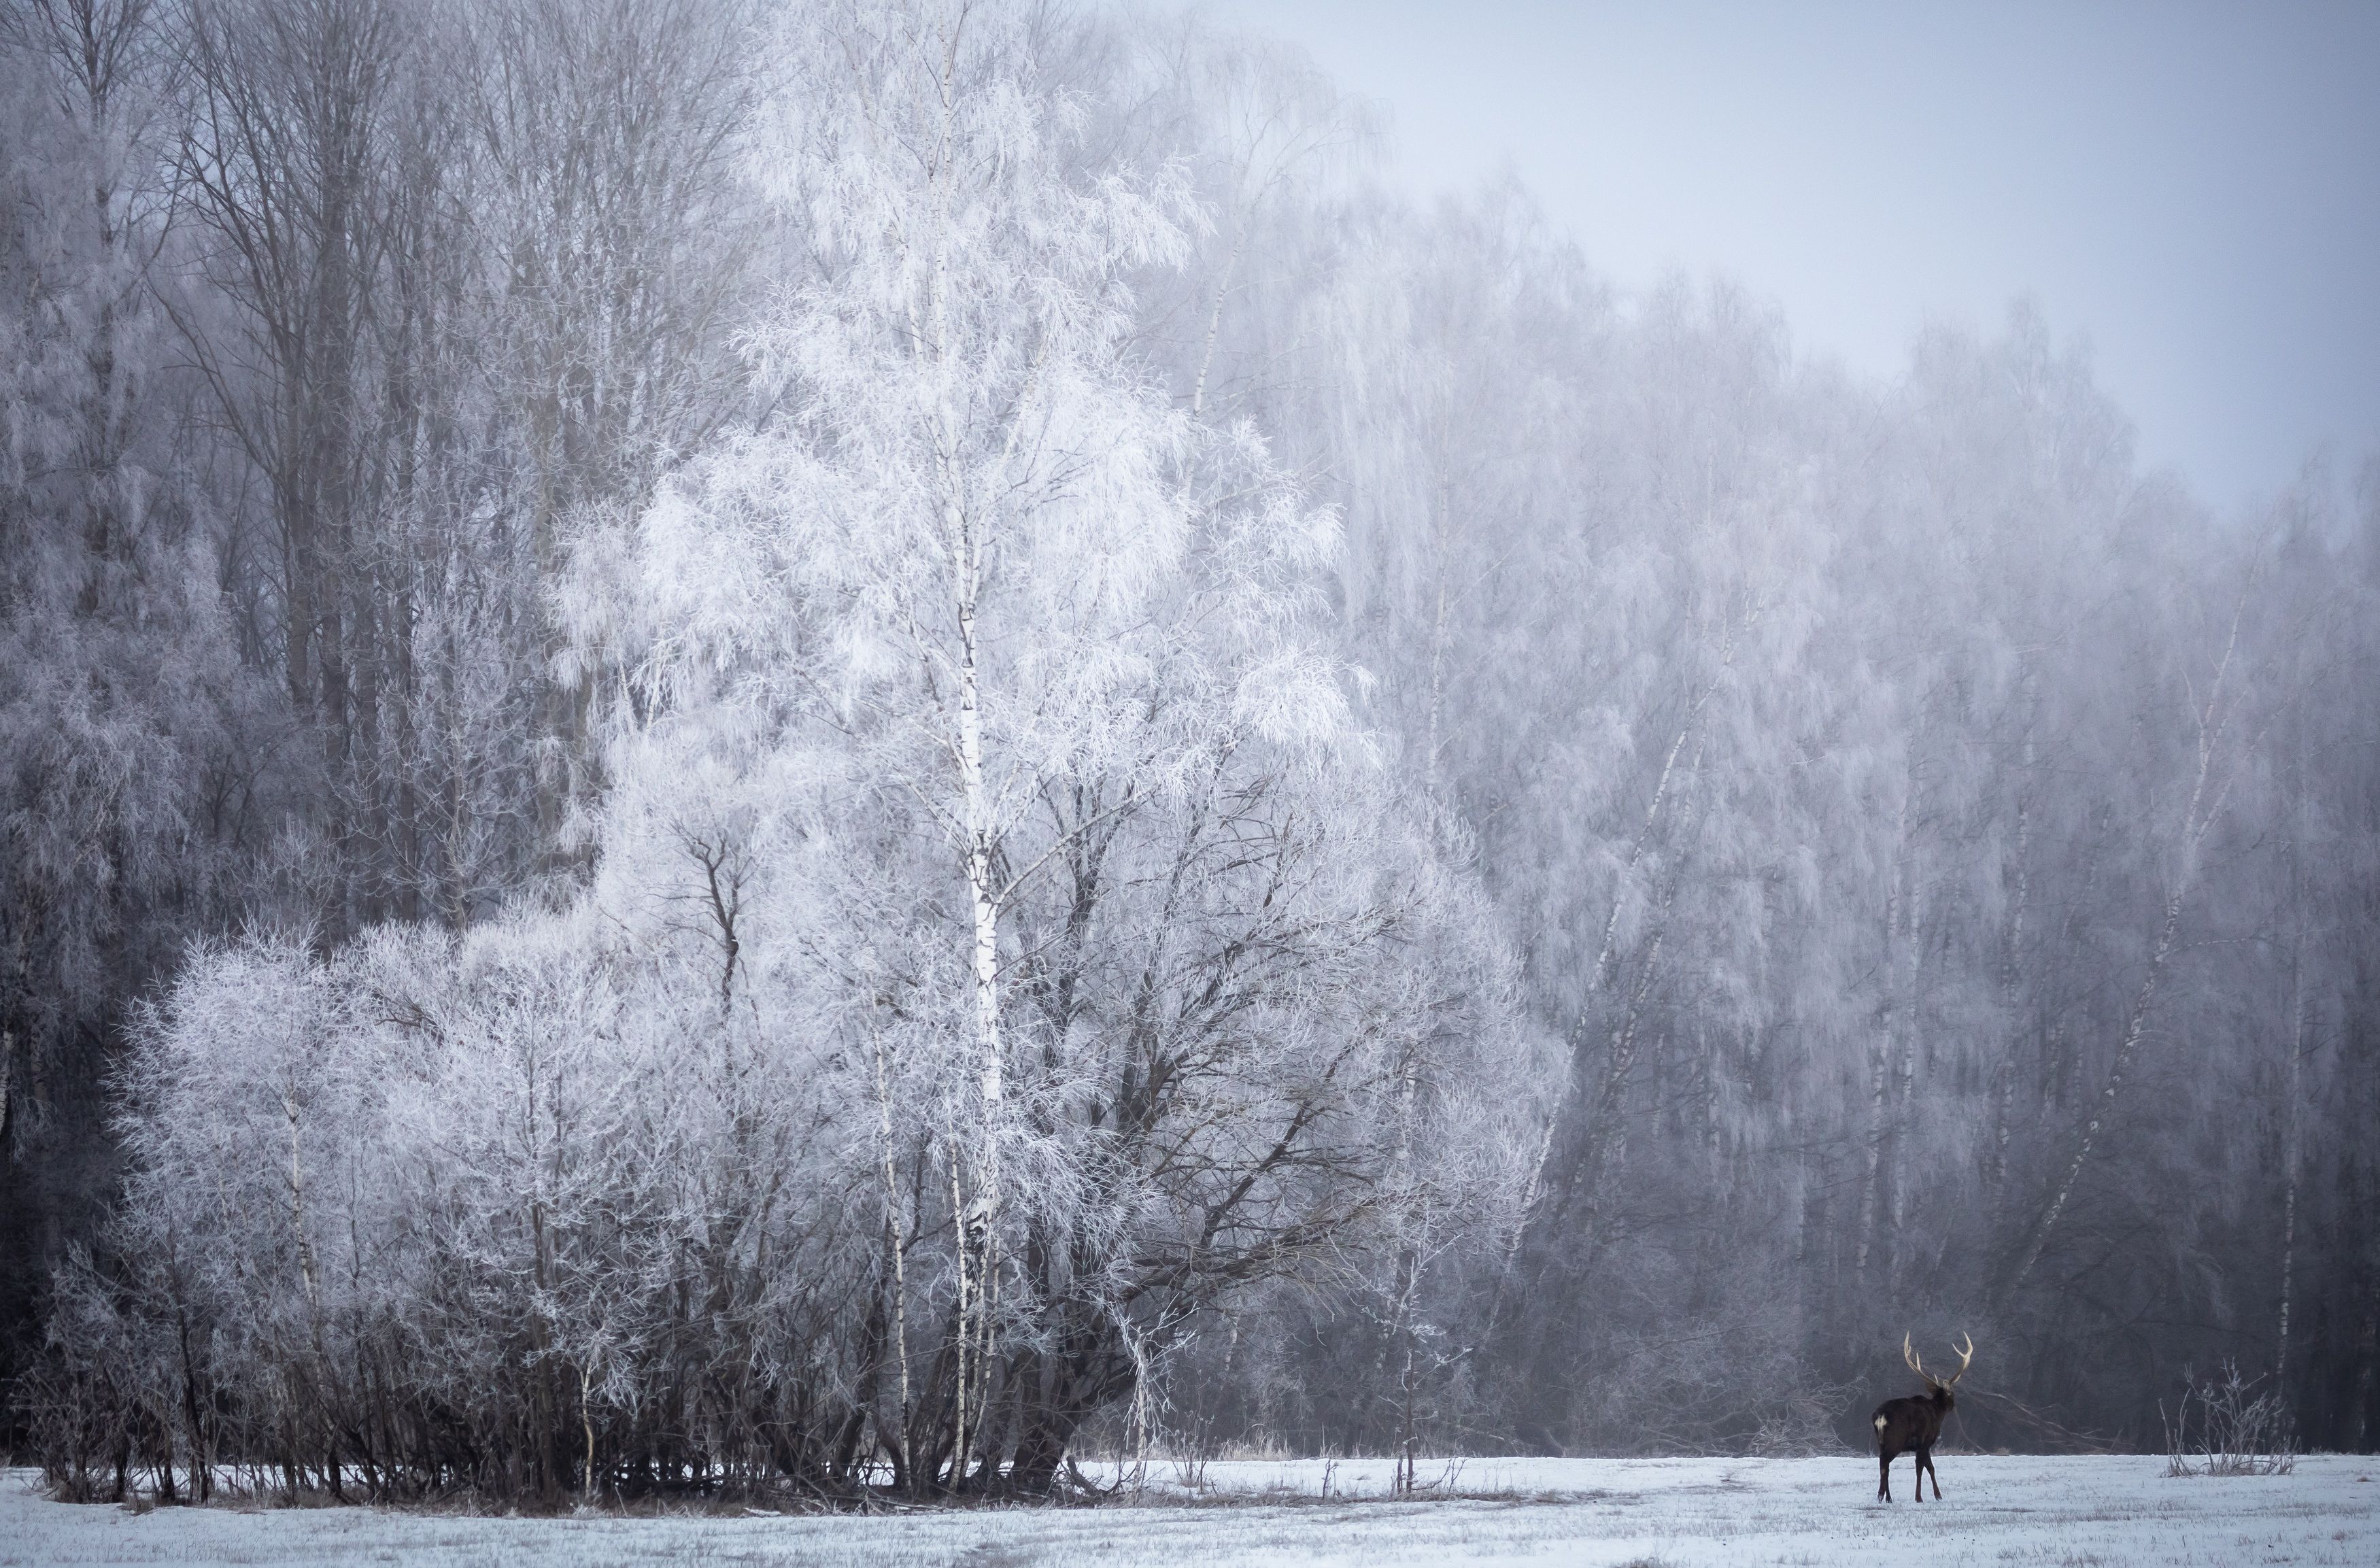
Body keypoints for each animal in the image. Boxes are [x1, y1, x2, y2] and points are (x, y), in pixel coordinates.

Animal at [1875, 1332, 1971, 1503]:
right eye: (1952, 1393)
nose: (1954, 1405)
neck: (1937, 1413)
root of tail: (1881, 1416)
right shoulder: (1925, 1441)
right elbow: (1926, 1467)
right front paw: (1928, 1496)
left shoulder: (1921, 1445)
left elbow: (1925, 1466)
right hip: (1896, 1440)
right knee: (1884, 1461)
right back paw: (1881, 1495)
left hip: (1881, 1441)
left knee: (1884, 1463)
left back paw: (1888, 1498)